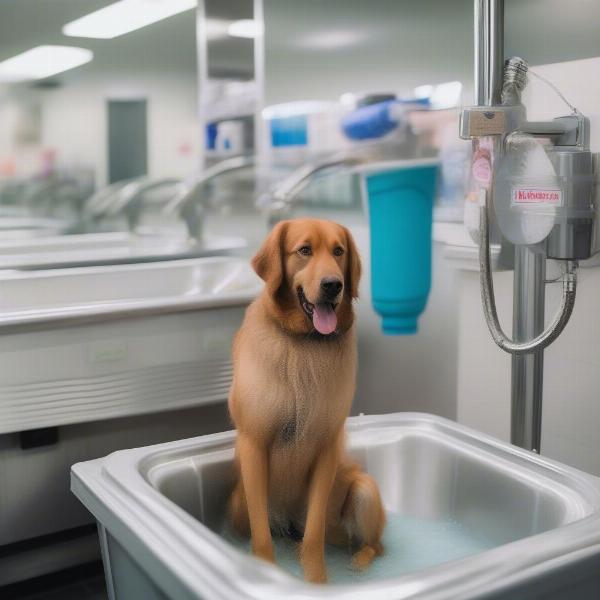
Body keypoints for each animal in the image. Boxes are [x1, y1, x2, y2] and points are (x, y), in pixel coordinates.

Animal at [225, 219, 384, 580]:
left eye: (339, 251)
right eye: (305, 250)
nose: (333, 285)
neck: (303, 344)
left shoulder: (326, 446)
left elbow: (313, 535)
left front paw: (316, 581)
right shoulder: (254, 443)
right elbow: (261, 534)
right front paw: (266, 569)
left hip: (364, 491)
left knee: (376, 545)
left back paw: (359, 562)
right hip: (237, 504)